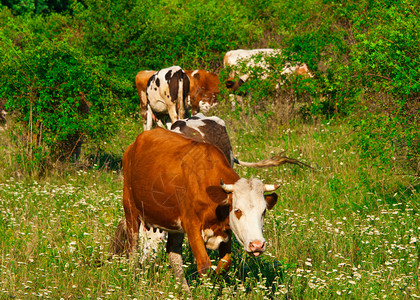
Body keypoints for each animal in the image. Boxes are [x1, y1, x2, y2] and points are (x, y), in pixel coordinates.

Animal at [112, 127, 278, 290]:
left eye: (263, 211)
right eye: (237, 210)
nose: (257, 245)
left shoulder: (227, 230)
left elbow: (225, 264)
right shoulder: (192, 226)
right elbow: (204, 265)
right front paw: (206, 290)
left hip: (173, 224)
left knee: (173, 253)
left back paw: (184, 290)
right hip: (130, 209)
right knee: (132, 249)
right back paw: (133, 282)